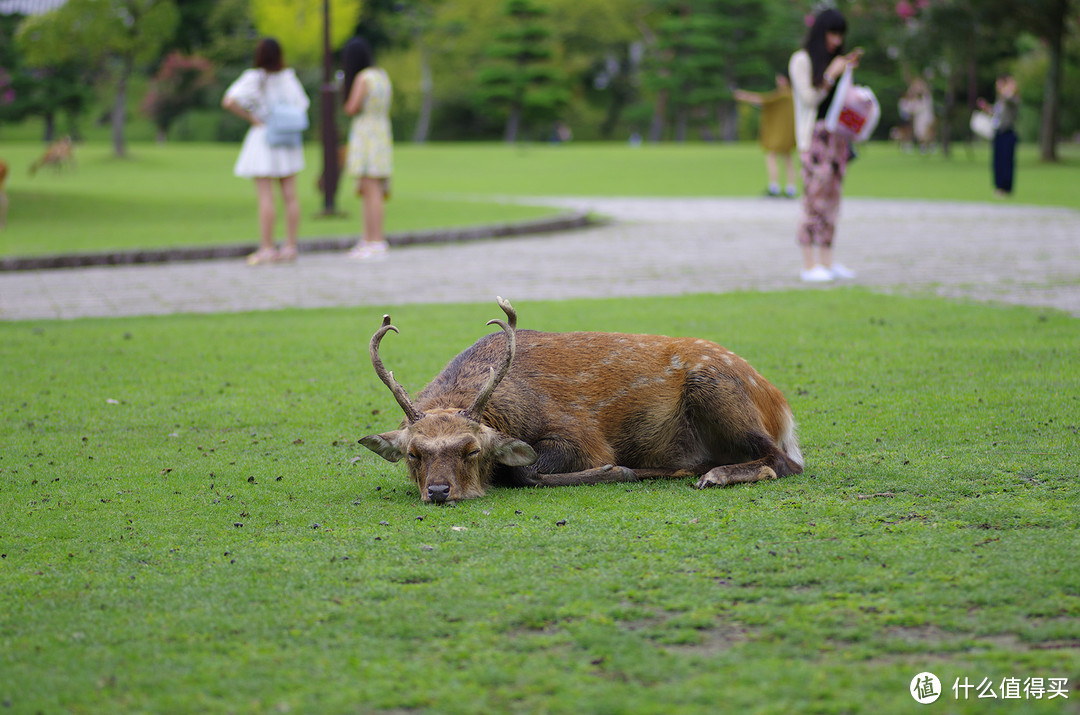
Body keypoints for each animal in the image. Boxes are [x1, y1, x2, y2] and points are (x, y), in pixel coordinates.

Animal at [360, 295, 803, 503]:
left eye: (472, 450)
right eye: (414, 453)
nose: (439, 491)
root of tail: (780, 405)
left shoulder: (580, 434)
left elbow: (524, 472)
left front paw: (615, 470)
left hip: (715, 388)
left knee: (784, 461)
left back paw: (713, 475)